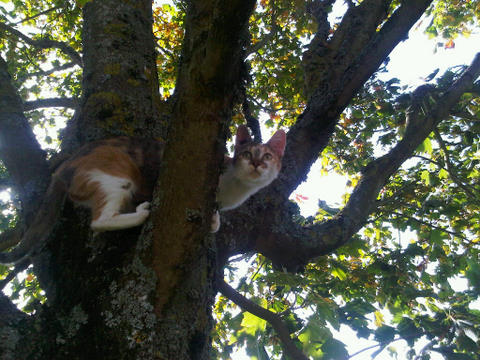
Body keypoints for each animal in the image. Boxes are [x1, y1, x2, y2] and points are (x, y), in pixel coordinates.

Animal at [0, 126, 284, 264]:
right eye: (246, 154)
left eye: (267, 156)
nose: (256, 164)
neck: (236, 188)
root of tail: (64, 167)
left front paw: (214, 220)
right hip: (115, 173)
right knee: (100, 221)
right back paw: (140, 213)